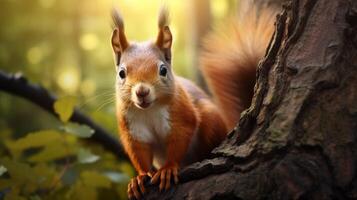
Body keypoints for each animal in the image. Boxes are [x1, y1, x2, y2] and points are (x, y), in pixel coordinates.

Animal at [111, 3, 276, 199]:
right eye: (122, 73)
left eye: (163, 70)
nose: (142, 92)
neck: (148, 110)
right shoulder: (132, 129)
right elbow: (139, 153)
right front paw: (140, 177)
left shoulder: (181, 114)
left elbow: (180, 137)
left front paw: (168, 169)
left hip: (210, 117)